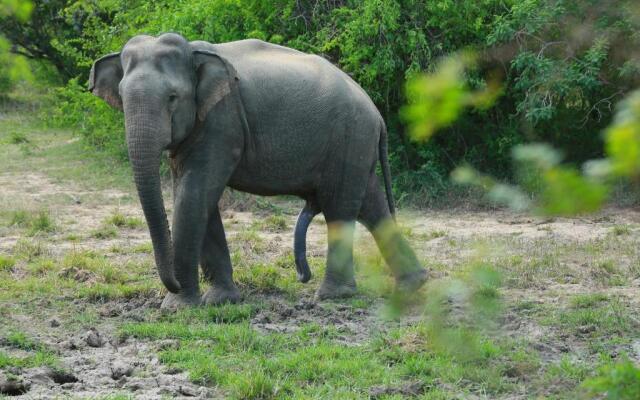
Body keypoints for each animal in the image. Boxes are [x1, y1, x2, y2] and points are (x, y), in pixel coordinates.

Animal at [90, 33, 428, 310]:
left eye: (173, 98)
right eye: (122, 97)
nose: (171, 285)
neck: (196, 54)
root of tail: (377, 114)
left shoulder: (222, 121)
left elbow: (194, 194)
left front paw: (178, 307)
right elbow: (197, 198)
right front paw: (220, 301)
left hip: (350, 137)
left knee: (341, 206)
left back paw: (332, 296)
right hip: (355, 145)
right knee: (371, 206)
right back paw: (412, 286)